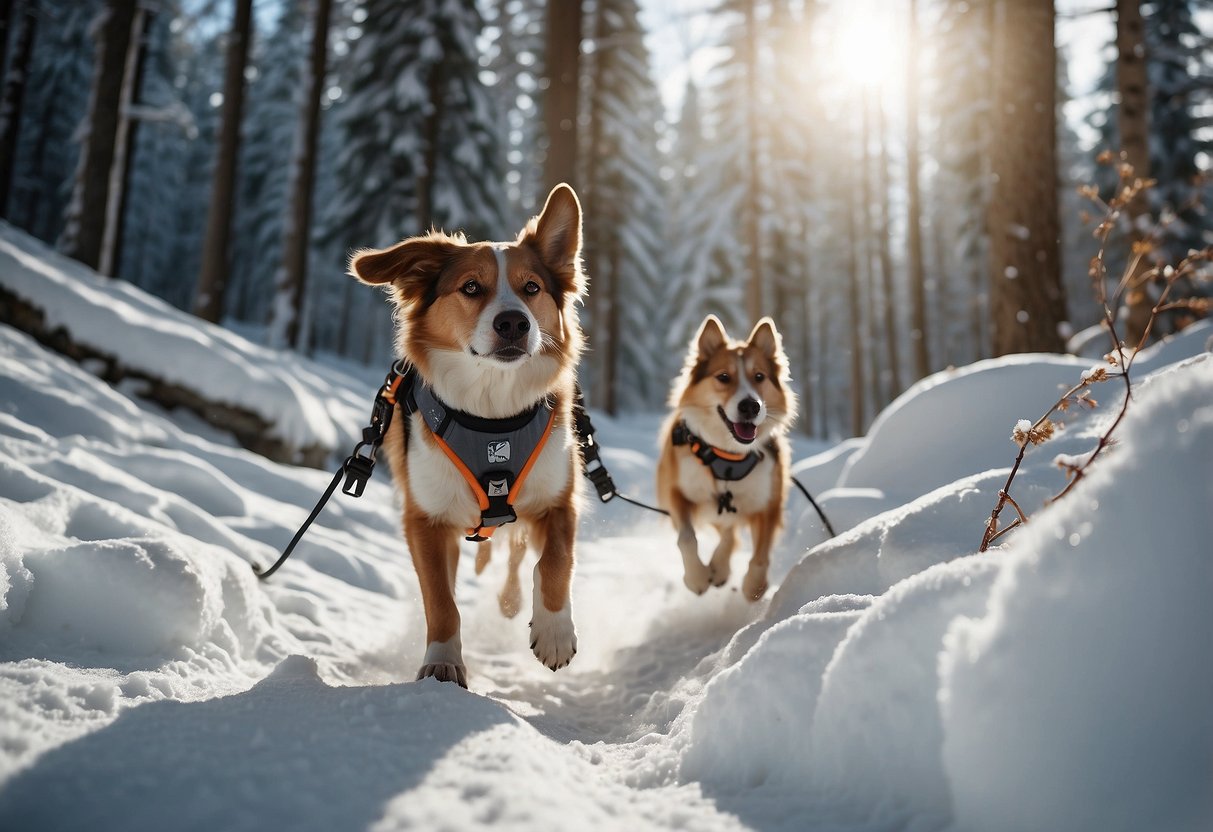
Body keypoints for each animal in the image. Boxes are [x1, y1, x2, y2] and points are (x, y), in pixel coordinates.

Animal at [346, 185, 587, 688]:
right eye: (471, 287)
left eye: (531, 288)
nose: (514, 322)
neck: (491, 411)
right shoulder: (426, 521)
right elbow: (442, 601)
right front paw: (442, 663)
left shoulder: (559, 501)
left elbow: (555, 562)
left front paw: (555, 632)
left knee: (516, 556)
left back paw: (513, 602)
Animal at [655, 315, 795, 603]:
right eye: (723, 377)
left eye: (759, 376)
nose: (750, 406)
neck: (728, 456)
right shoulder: (676, 492)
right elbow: (687, 537)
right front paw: (697, 578)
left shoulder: (769, 502)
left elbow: (761, 554)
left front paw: (754, 587)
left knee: (730, 532)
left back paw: (720, 568)